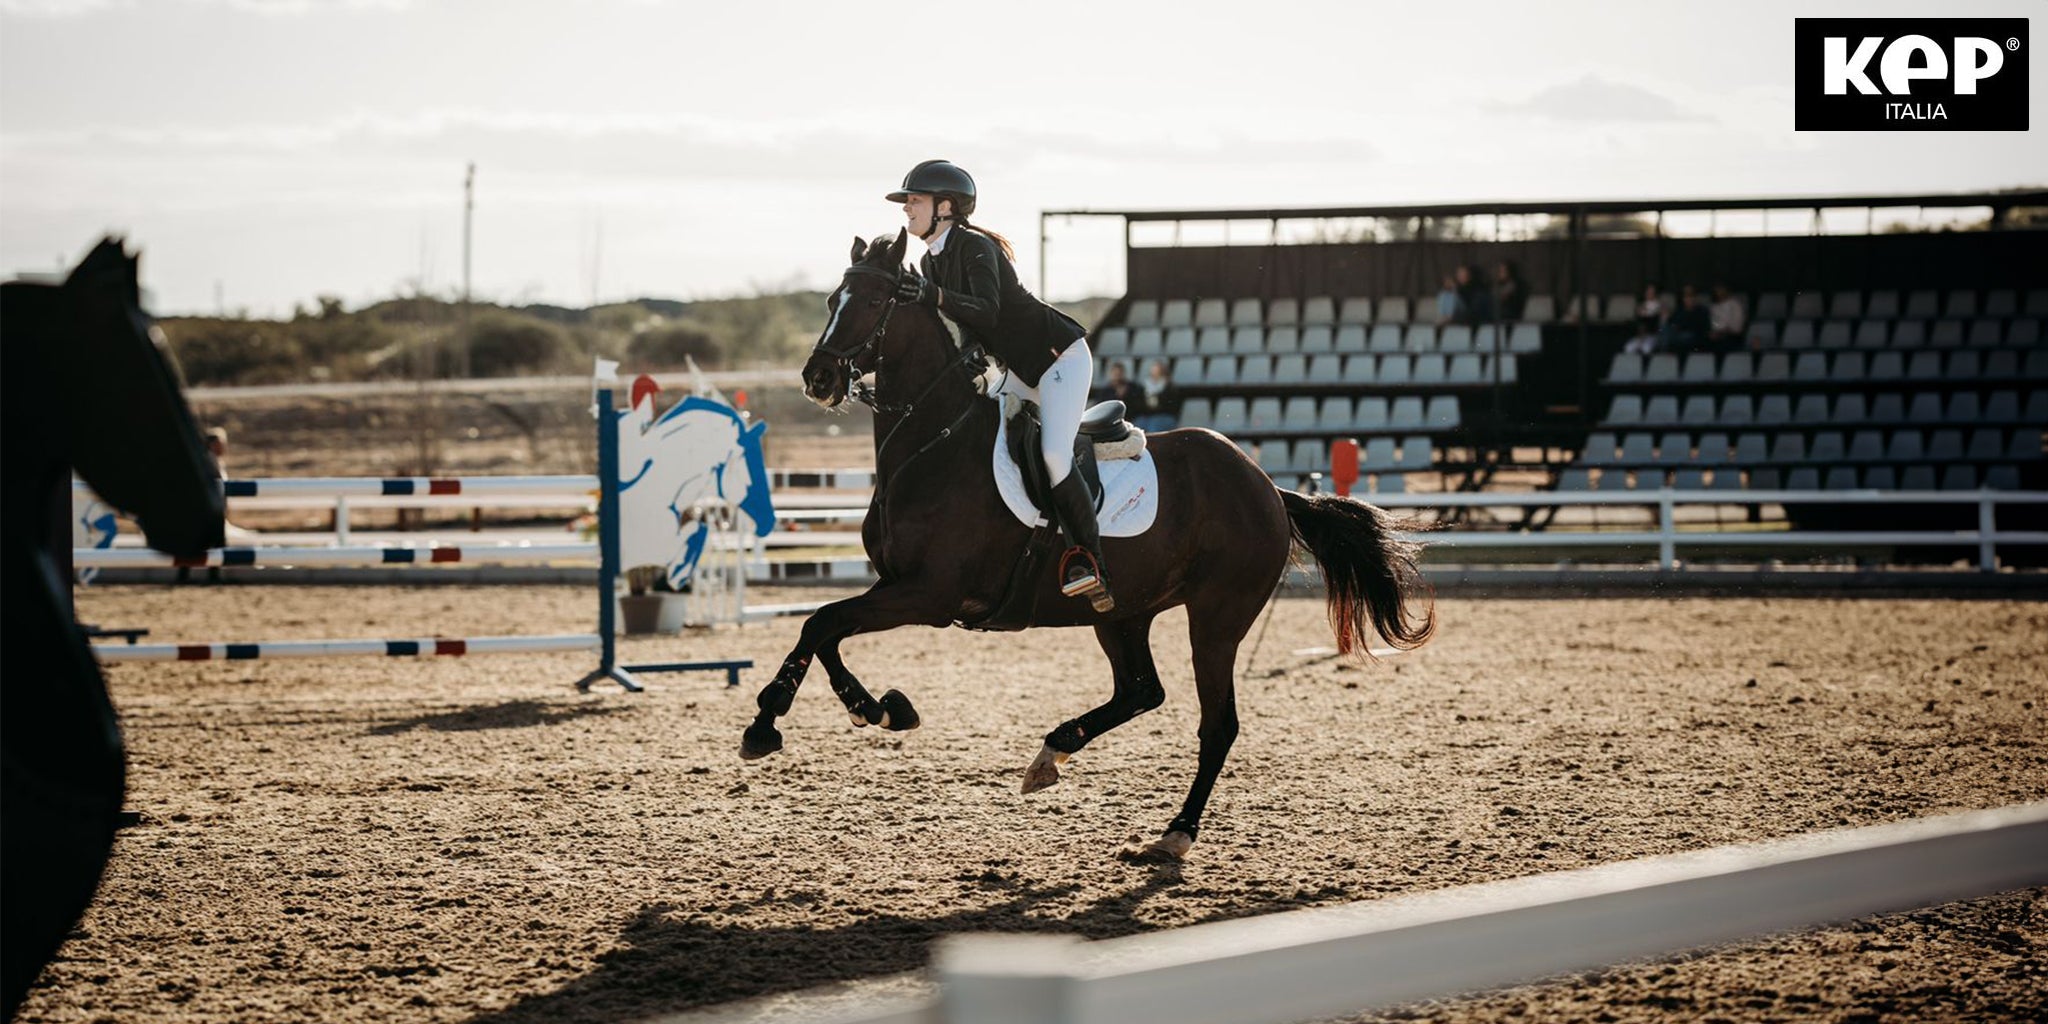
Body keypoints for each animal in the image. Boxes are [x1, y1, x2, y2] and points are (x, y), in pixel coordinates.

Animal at [745, 228, 1433, 860]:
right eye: (831, 299)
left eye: (869, 301)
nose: (817, 377)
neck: (932, 443)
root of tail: (1267, 485)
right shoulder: (896, 588)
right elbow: (824, 628)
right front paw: (877, 708)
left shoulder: (927, 595)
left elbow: (820, 621)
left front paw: (772, 719)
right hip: (1122, 611)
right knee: (1142, 690)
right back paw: (1052, 753)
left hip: (1216, 618)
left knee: (1216, 725)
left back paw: (1175, 833)